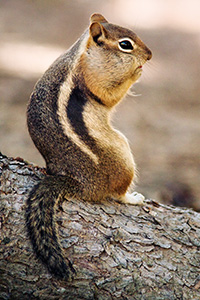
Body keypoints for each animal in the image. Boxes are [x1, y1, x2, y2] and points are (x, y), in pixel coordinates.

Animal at [26, 12, 152, 280]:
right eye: (125, 45)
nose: (149, 55)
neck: (83, 53)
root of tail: (80, 183)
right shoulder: (94, 78)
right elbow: (108, 96)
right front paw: (136, 72)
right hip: (122, 153)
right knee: (116, 194)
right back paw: (132, 198)